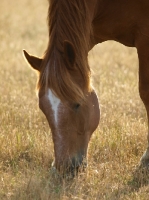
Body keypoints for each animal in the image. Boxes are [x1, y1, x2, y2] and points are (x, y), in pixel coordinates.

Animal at [23, 0, 149, 174]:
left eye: (77, 105)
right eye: (43, 108)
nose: (64, 168)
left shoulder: (145, 38)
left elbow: (145, 92)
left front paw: (146, 160)